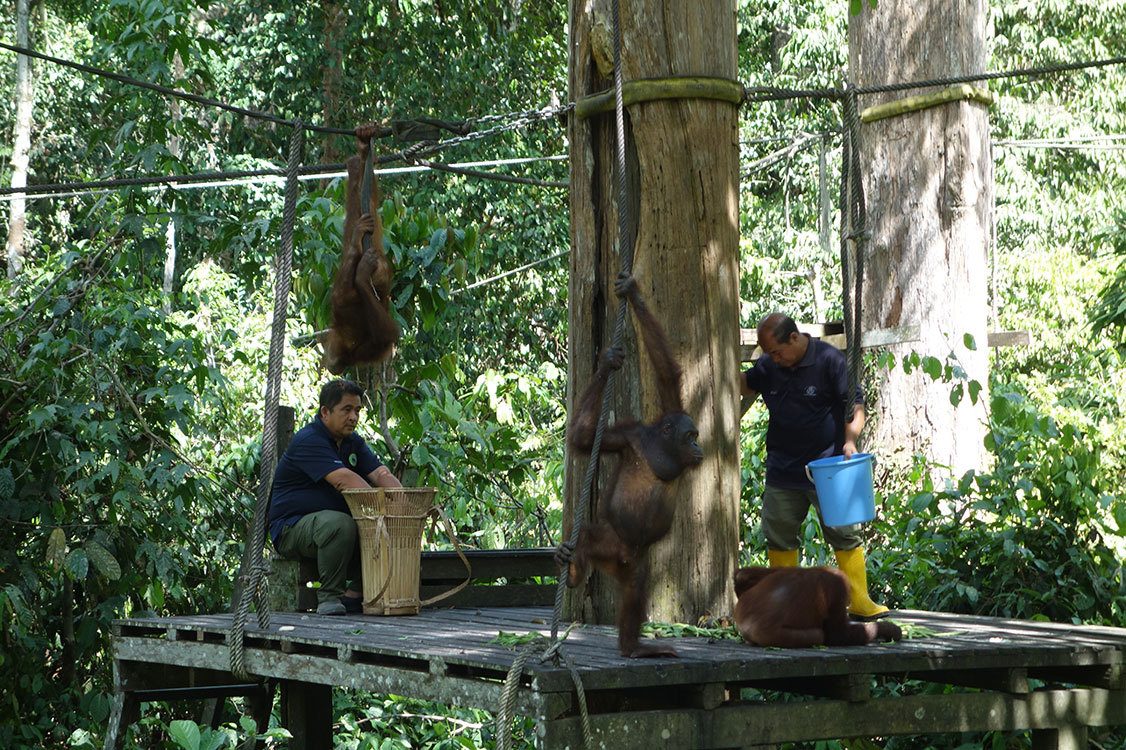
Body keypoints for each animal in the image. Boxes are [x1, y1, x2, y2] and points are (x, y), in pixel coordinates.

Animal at [557, 272, 704, 658]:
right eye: (689, 435)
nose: (699, 444)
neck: (660, 446)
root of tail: (619, 561)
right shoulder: (628, 435)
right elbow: (584, 438)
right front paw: (607, 361)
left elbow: (667, 374)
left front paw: (633, 294)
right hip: (610, 542)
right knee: (588, 536)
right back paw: (574, 570)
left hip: (632, 561)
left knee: (635, 588)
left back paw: (631, 646)